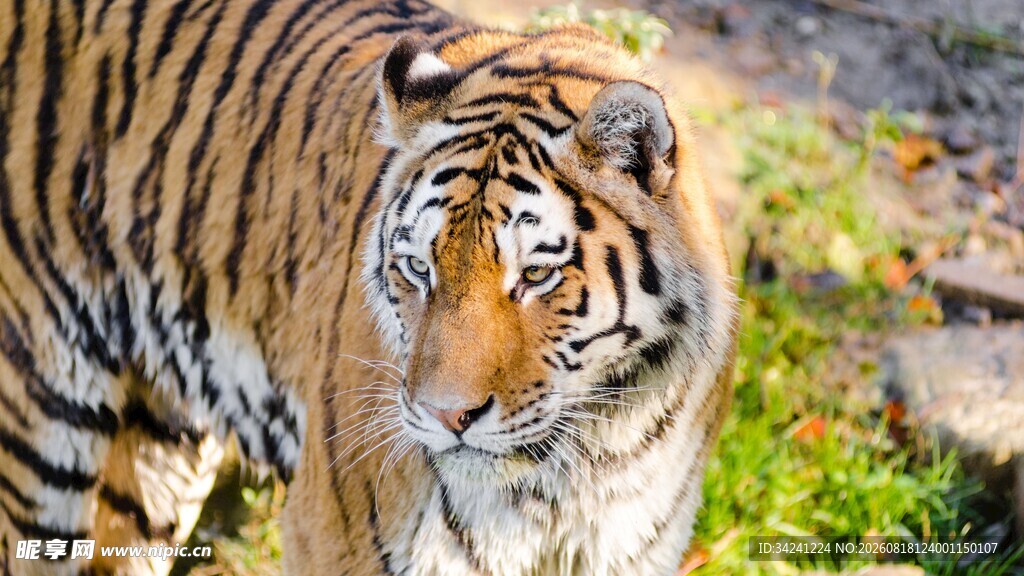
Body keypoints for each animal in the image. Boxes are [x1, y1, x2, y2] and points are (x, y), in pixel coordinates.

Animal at [0, 0, 739, 573]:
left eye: (535, 274)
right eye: (418, 268)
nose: (447, 418)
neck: (587, 467)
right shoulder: (333, 539)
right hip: (40, 417)